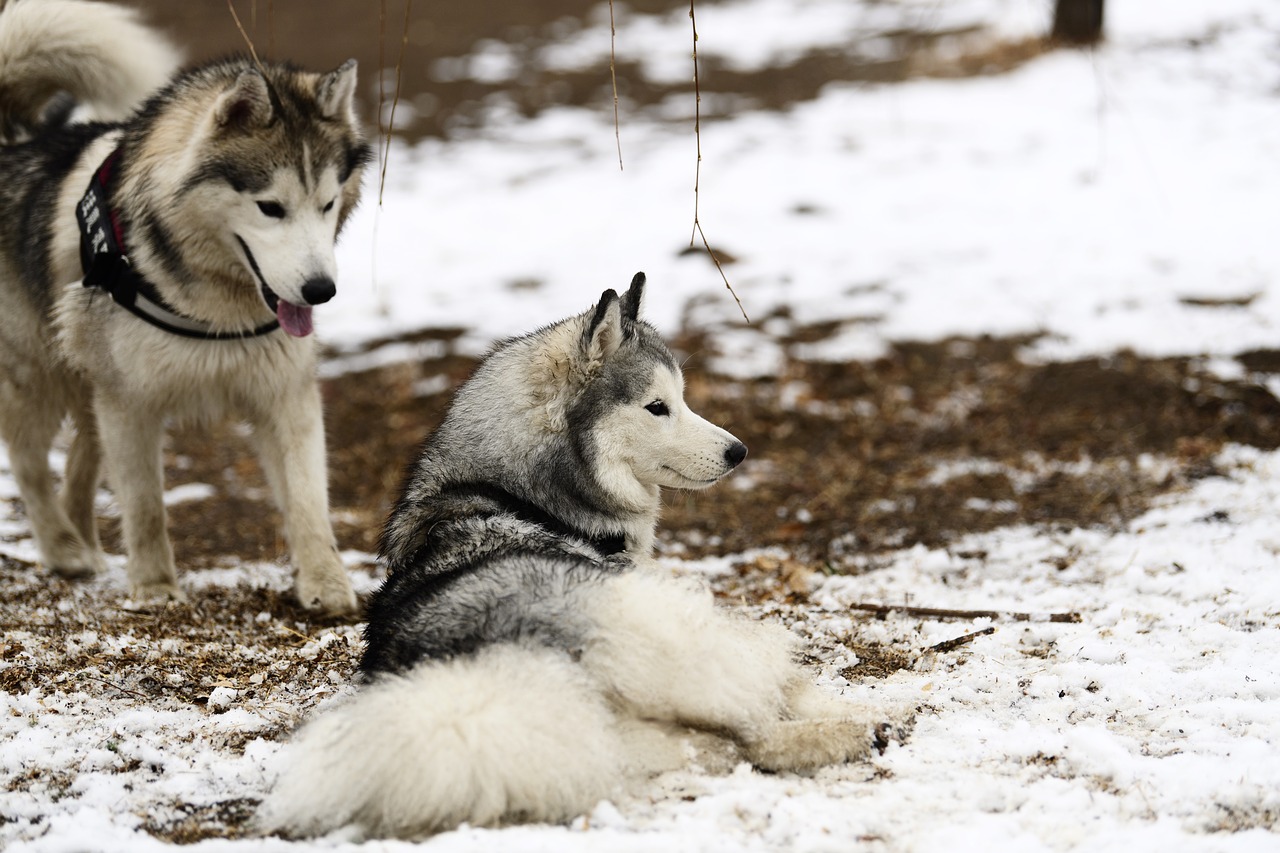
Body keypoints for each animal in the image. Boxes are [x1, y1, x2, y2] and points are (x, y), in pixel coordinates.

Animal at [0, 1, 371, 612]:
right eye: (270, 207)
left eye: (327, 203)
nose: (321, 290)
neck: (214, 306)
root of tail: (15, 138)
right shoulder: (130, 404)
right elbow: (146, 504)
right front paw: (154, 587)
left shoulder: (285, 394)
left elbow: (308, 501)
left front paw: (326, 584)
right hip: (39, 377)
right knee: (30, 465)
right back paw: (62, 548)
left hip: (87, 382)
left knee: (79, 465)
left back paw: (86, 545)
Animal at [262, 275, 901, 835]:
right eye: (657, 407)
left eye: (682, 399)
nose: (738, 451)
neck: (520, 493)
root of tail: (515, 668)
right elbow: (791, 688)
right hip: (672, 632)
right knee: (761, 720)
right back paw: (862, 728)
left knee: (742, 744)